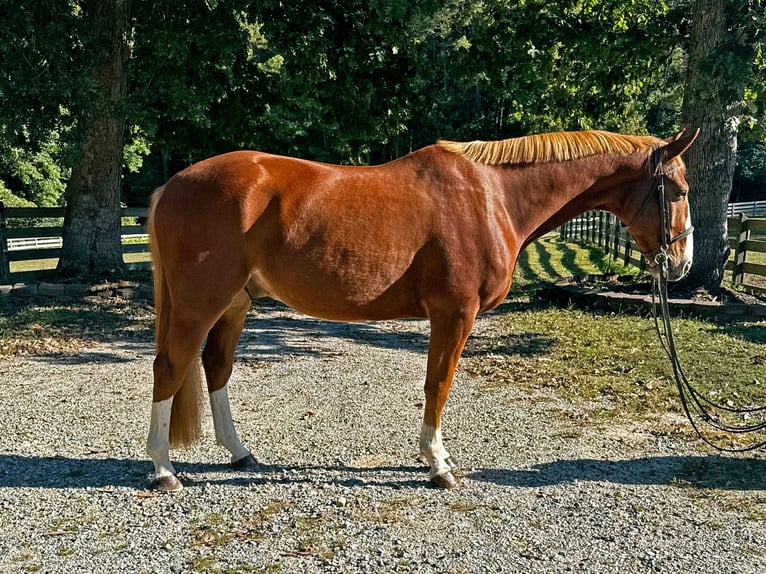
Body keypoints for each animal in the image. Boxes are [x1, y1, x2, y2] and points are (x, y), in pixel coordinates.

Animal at [146, 128, 698, 491]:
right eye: (681, 191)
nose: (682, 264)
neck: (493, 196)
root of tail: (171, 185)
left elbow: (436, 385)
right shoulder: (454, 314)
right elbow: (439, 384)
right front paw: (438, 465)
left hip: (235, 303)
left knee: (215, 366)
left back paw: (239, 454)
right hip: (201, 302)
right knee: (170, 367)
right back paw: (164, 469)